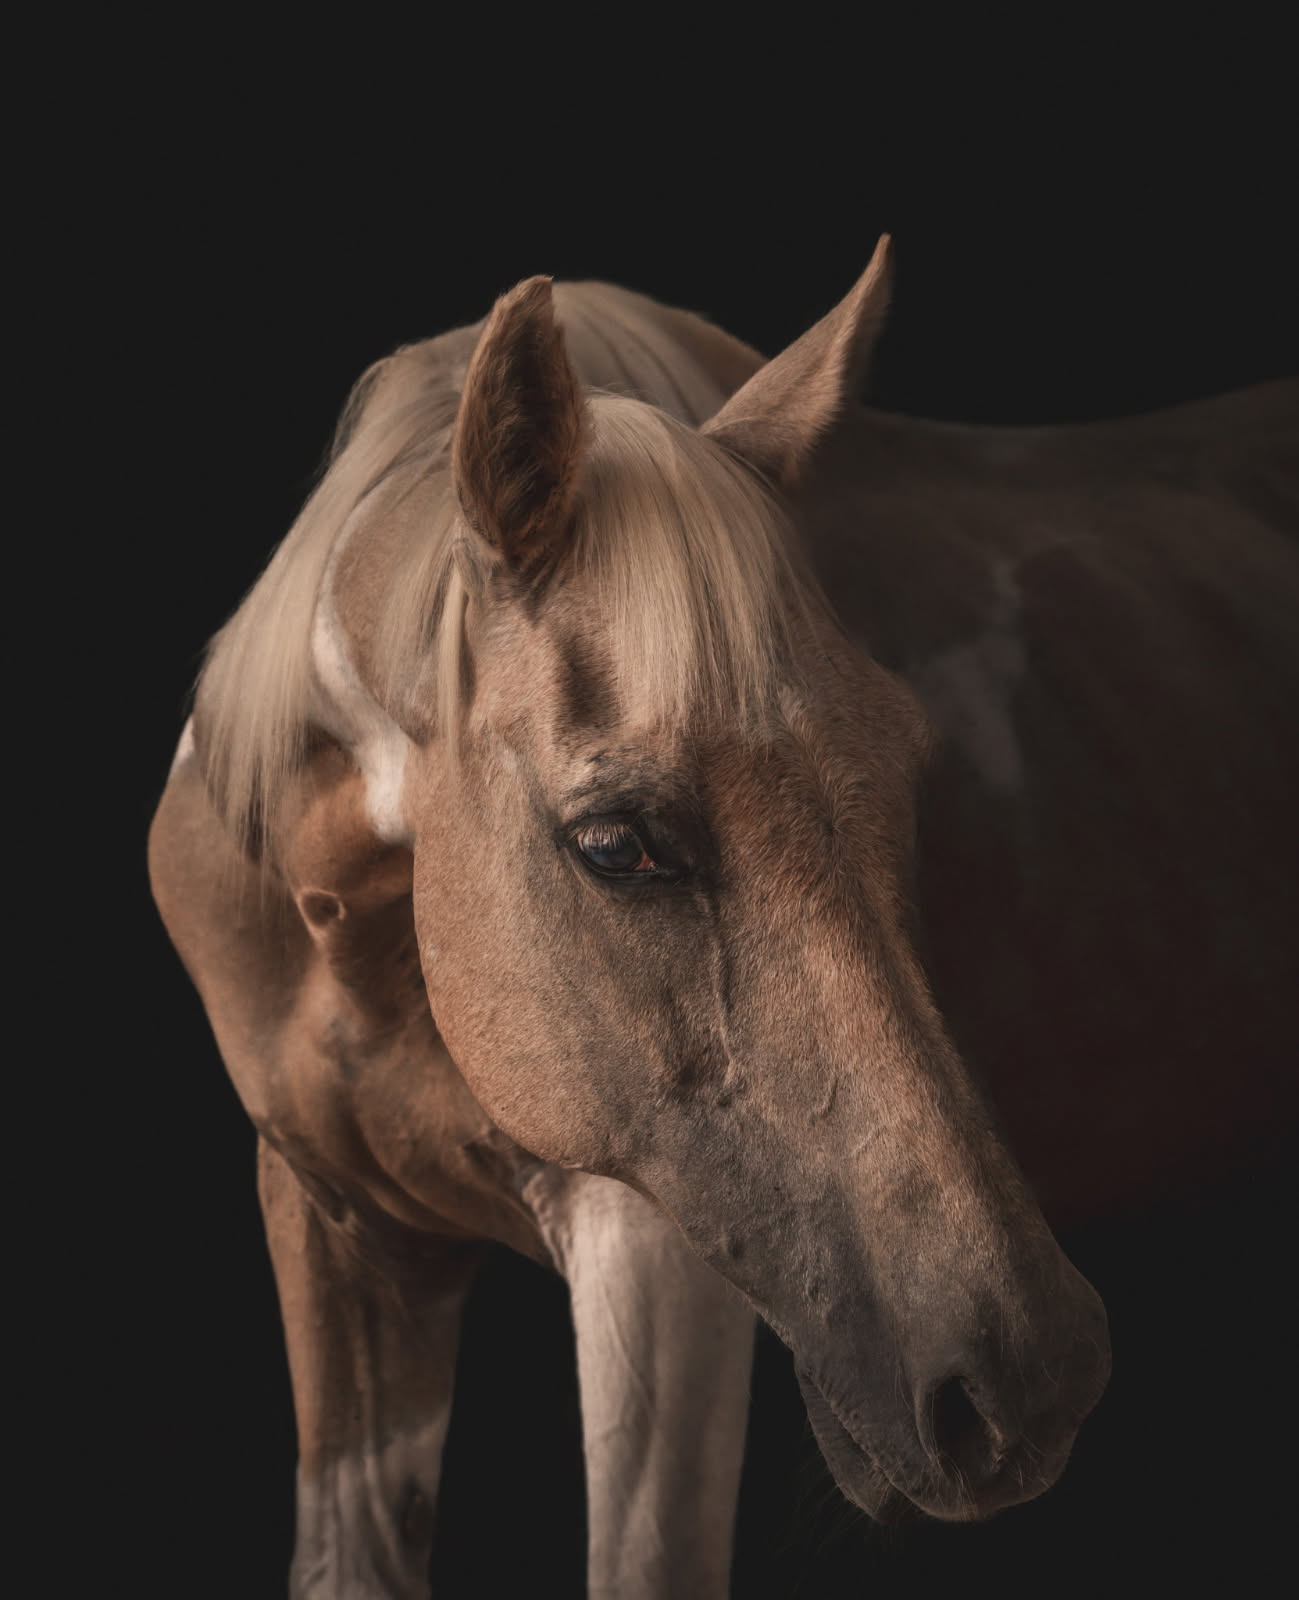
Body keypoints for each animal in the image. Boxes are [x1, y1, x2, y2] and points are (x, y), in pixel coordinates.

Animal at [148, 237, 1296, 1598]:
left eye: (909, 768)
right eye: (614, 844)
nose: (1033, 1376)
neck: (355, 943)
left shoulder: (653, 1267)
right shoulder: (338, 1230)